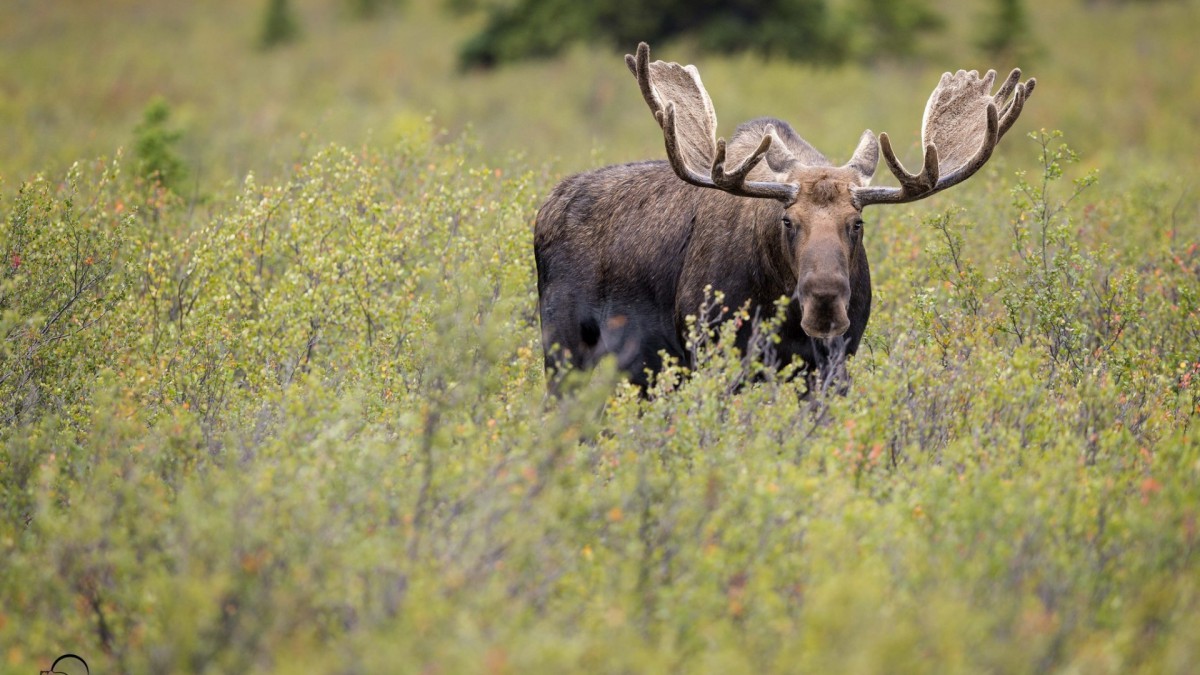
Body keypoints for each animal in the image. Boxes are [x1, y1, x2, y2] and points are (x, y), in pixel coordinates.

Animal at [535, 40, 1032, 389]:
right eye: (788, 221)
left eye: (857, 223)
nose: (825, 300)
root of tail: (545, 208)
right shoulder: (714, 354)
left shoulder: (833, 364)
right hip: (563, 350)